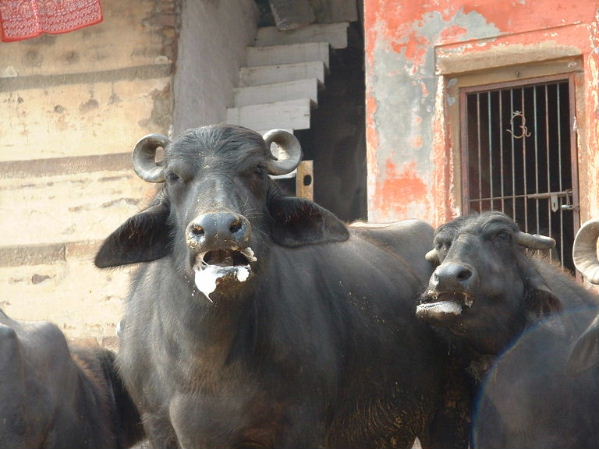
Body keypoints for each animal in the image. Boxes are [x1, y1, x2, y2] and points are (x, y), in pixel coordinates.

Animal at [94, 124, 468, 449]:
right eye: (174, 176)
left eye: (257, 170)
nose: (217, 227)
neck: (208, 360)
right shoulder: (158, 426)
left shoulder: (302, 425)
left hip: (448, 413)